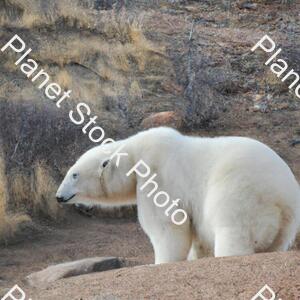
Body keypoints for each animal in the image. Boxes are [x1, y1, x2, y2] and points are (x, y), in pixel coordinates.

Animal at [56, 127, 300, 264]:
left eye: (74, 174)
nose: (59, 196)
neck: (134, 155)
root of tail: (279, 198)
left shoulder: (158, 174)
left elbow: (167, 225)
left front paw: (161, 261)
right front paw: (196, 256)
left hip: (241, 191)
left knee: (231, 224)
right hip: (288, 220)